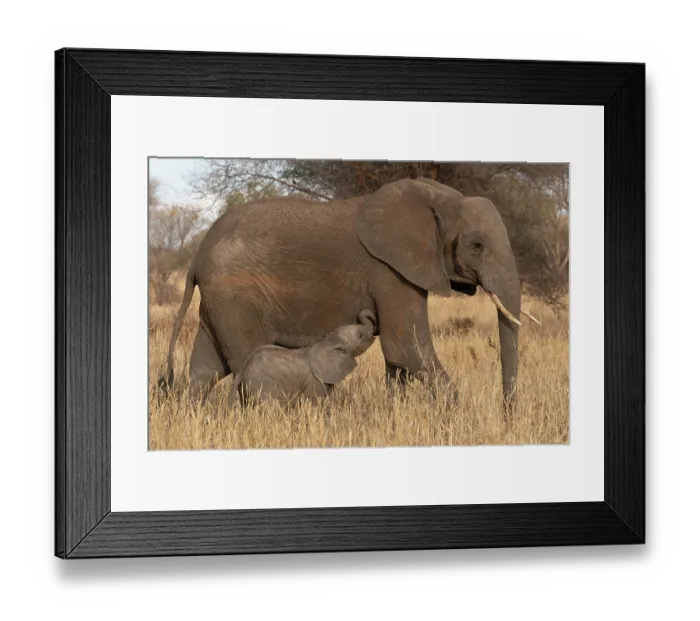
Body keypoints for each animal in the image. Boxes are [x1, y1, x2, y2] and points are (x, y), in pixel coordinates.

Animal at [232, 309, 376, 406]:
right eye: (360, 336)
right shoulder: (314, 381)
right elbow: (316, 405)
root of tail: (243, 369)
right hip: (261, 383)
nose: (365, 312)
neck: (326, 342)